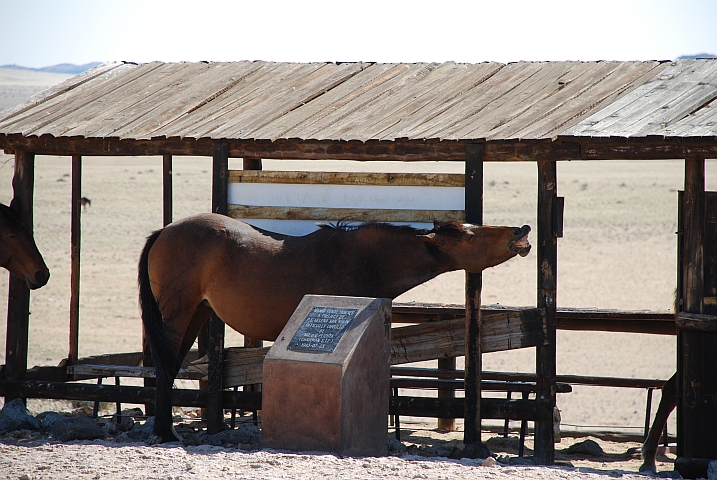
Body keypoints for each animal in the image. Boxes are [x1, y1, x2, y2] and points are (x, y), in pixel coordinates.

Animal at [140, 214, 532, 442]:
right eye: (468, 237)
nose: (521, 229)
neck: (363, 261)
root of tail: (165, 231)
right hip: (178, 313)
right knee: (165, 366)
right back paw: (164, 432)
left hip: (197, 313)